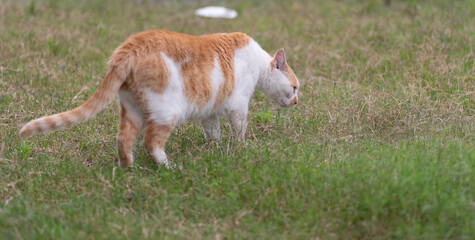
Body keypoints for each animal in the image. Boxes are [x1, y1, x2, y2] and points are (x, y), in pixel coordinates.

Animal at [21, 29, 302, 169]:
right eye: (295, 88)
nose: (297, 103)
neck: (257, 62)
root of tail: (129, 48)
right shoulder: (238, 106)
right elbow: (239, 129)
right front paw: (241, 147)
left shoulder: (210, 111)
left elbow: (213, 132)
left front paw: (216, 149)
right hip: (166, 111)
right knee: (151, 143)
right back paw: (168, 167)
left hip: (132, 108)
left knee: (123, 139)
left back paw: (129, 169)